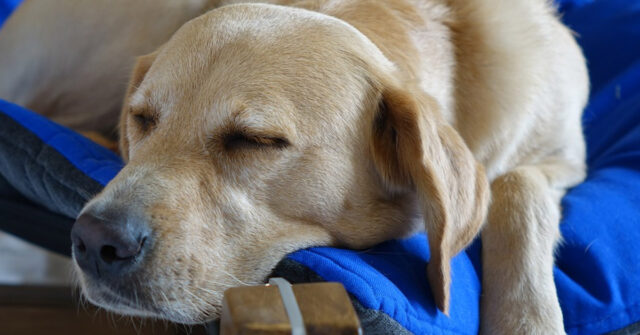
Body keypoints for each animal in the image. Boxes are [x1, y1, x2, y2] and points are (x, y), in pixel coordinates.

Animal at [0, 0, 588, 334]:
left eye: (255, 140)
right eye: (143, 119)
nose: (93, 240)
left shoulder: (566, 156)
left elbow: (518, 190)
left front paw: (527, 320)